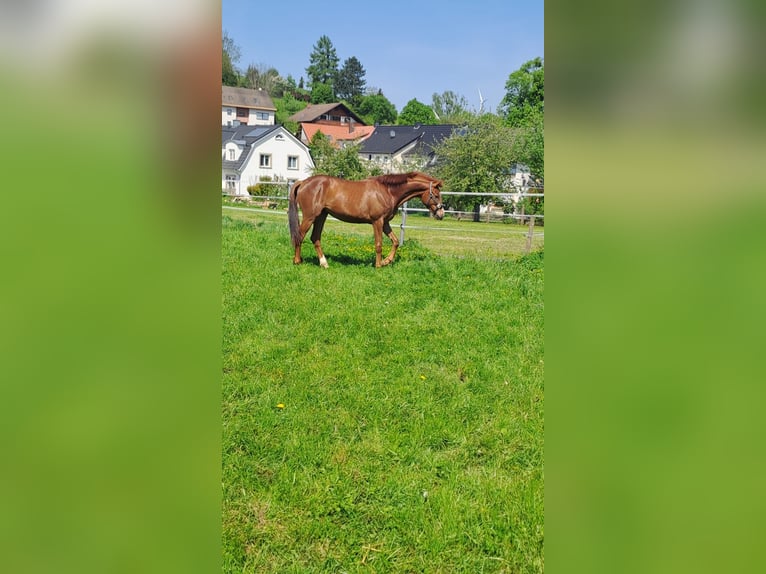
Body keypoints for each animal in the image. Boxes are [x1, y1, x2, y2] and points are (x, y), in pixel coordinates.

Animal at [288, 172, 444, 268]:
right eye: (436, 195)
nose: (441, 214)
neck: (387, 191)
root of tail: (303, 182)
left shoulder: (385, 223)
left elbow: (395, 241)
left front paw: (387, 261)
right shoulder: (377, 222)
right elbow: (379, 244)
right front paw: (379, 265)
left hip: (321, 216)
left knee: (315, 238)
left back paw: (324, 263)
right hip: (310, 217)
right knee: (299, 236)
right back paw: (297, 261)